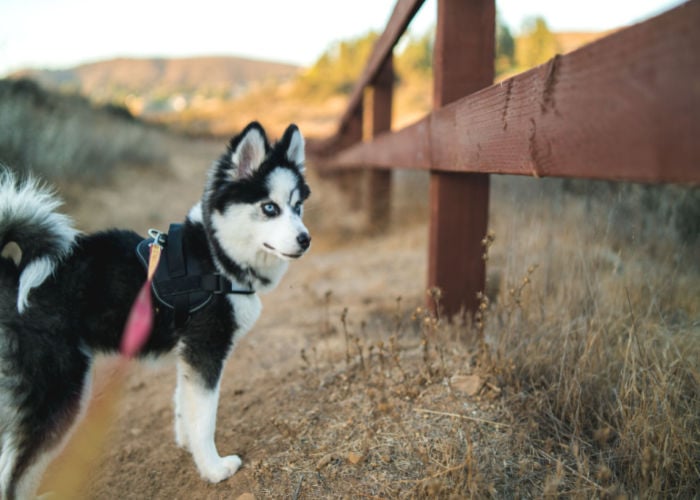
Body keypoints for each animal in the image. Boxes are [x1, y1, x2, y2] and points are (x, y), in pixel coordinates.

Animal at [0, 122, 312, 500]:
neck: (215, 255)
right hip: (58, 389)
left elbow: (185, 404)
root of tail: (13, 273)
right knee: (15, 470)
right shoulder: (206, 348)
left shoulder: (189, 352)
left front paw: (189, 446)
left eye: (297, 207)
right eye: (269, 208)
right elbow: (205, 417)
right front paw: (213, 468)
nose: (305, 239)